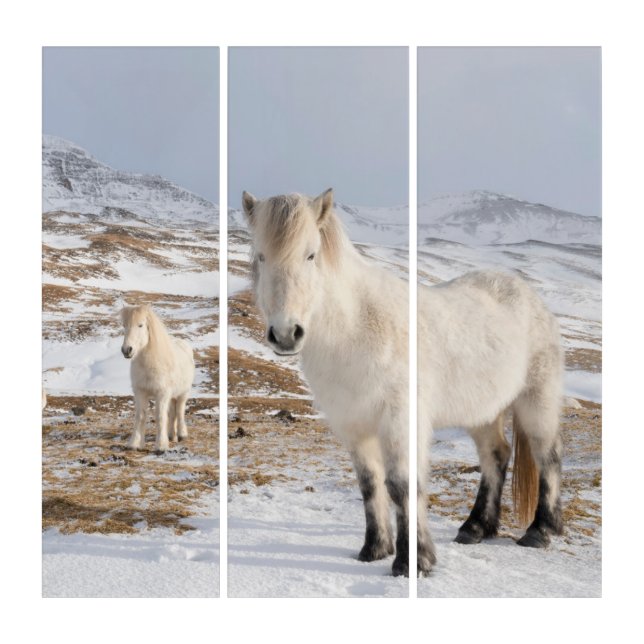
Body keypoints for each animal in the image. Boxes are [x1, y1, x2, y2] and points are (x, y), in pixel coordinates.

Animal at [119, 304, 195, 453]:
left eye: (141, 325)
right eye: (124, 325)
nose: (127, 350)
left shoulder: (162, 393)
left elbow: (160, 417)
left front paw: (161, 446)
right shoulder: (140, 392)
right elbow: (140, 416)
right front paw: (134, 444)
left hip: (183, 393)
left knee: (180, 411)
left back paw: (182, 434)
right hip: (172, 396)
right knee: (173, 413)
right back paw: (172, 435)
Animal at [242, 189, 564, 578]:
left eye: (310, 254)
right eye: (261, 255)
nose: (286, 334)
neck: (356, 329)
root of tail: (527, 294)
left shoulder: (399, 420)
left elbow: (402, 485)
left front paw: (414, 562)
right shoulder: (354, 425)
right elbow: (370, 485)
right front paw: (374, 549)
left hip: (537, 400)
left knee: (548, 456)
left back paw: (540, 531)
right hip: (483, 412)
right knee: (496, 456)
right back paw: (475, 528)